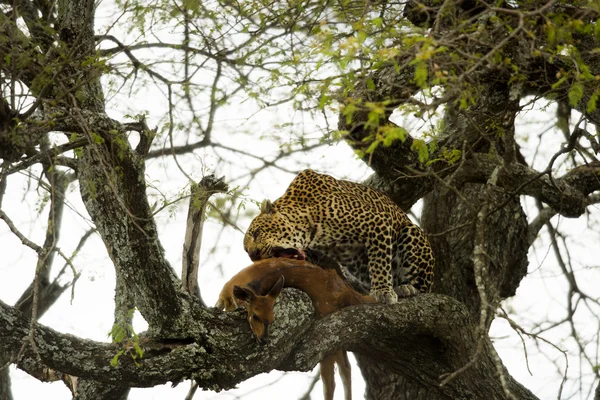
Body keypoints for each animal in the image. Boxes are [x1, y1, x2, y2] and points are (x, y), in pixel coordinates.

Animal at [241, 168, 434, 304]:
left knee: (425, 287)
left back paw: (406, 288)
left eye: (256, 233)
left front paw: (383, 292)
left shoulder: (377, 221)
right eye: (247, 253)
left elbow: (379, 263)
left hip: (411, 232)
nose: (254, 255)